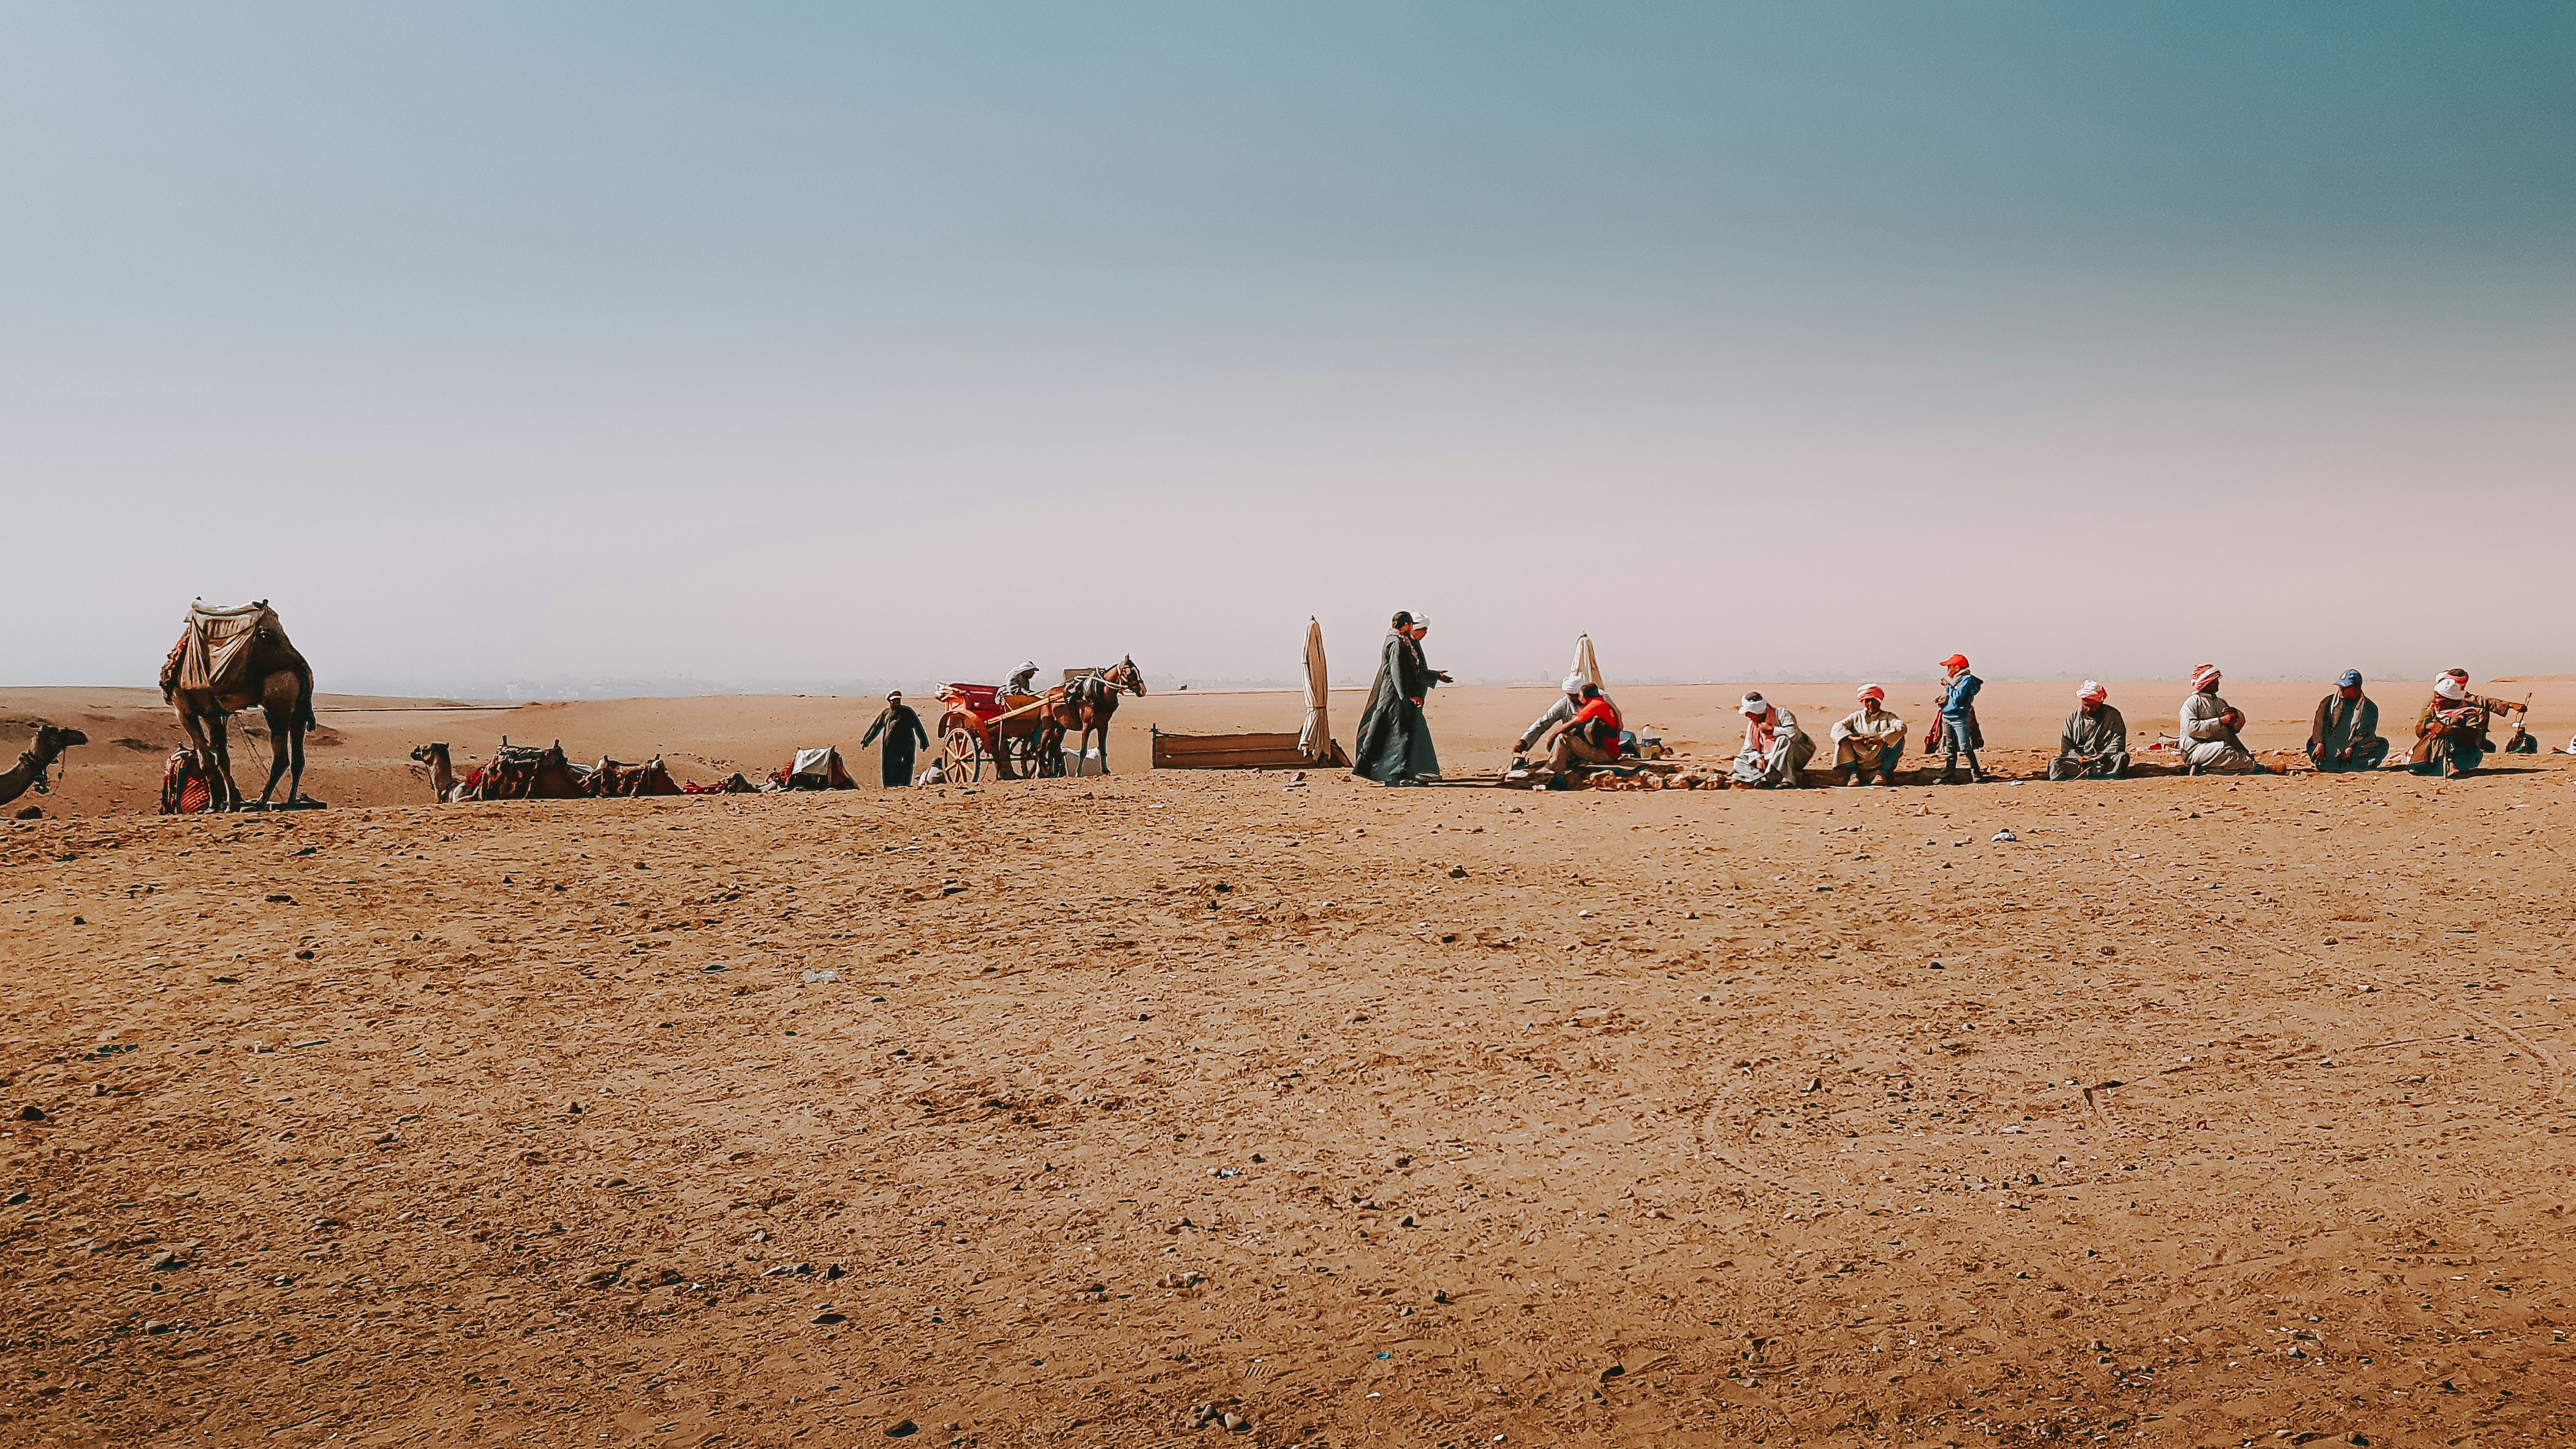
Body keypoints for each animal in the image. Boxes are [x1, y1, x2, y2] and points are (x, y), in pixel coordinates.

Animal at [157, 594, 319, 813]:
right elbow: (222, 757)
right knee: (298, 759)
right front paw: (229, 803)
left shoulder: (183, 710)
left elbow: (206, 759)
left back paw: (260, 802)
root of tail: (301, 667)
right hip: (298, 712)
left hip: (277, 707)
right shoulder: (212, 712)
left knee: (282, 757)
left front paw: (214, 805)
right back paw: (290, 802)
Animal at [1036, 651, 1148, 777]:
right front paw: (1078, 772)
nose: (1143, 690)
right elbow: (1083, 751)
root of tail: (1047, 695)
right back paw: (1040, 773)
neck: (1097, 694)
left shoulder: (1103, 726)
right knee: (1040, 749)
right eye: (1131, 672)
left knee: (1052, 748)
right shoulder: (1087, 726)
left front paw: (1106, 770)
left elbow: (1102, 750)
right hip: (1048, 726)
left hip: (1060, 728)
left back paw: (1052, 773)